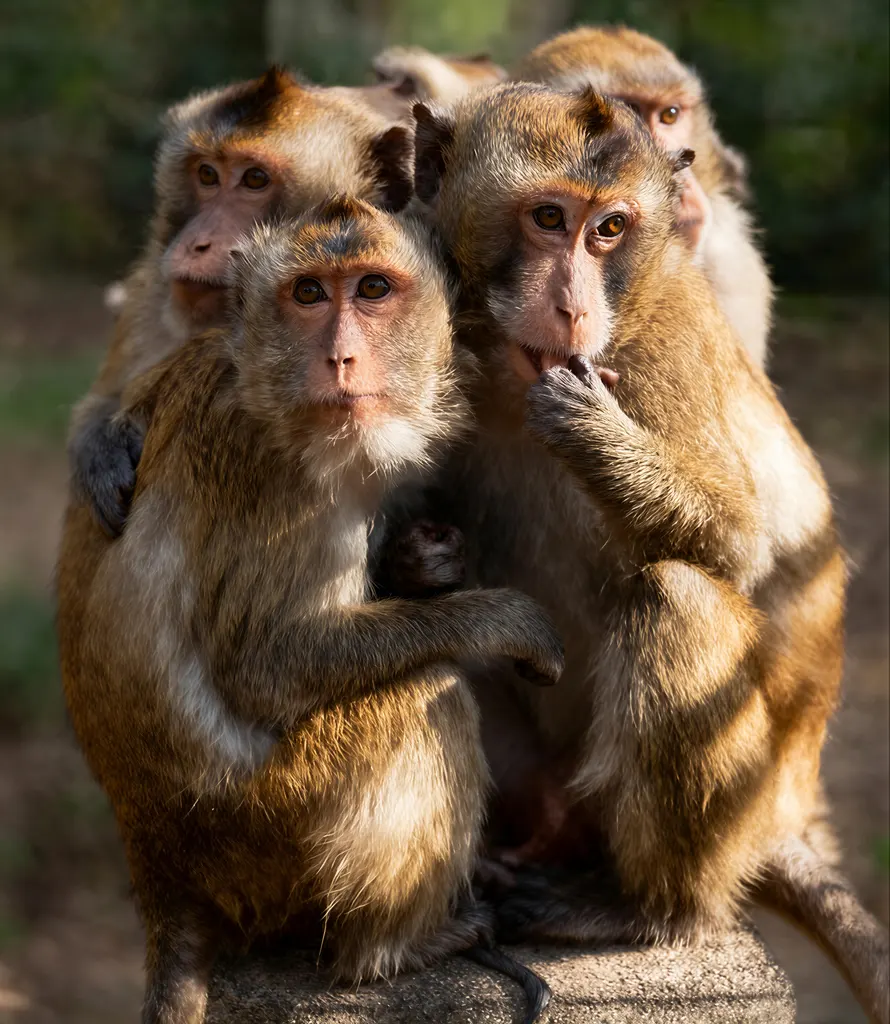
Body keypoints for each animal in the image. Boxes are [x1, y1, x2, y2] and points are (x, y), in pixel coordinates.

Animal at [56, 197, 564, 1024]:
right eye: (308, 296)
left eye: (372, 289)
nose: (341, 359)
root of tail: (157, 867)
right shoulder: (282, 476)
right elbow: (262, 662)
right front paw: (506, 619)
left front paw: (424, 561)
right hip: (267, 839)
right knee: (431, 695)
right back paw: (390, 949)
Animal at [409, 83, 889, 1021]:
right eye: (548, 218)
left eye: (609, 230)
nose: (573, 307)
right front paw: (423, 559)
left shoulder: (669, 336)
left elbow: (737, 544)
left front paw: (590, 429)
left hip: (740, 809)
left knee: (679, 596)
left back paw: (651, 912)